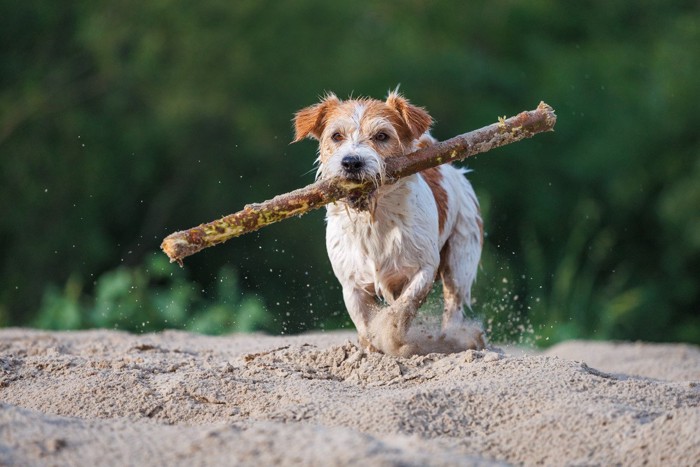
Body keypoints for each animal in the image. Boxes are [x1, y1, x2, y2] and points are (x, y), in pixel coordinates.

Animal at [292, 89, 484, 356]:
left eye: (382, 136)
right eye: (336, 136)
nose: (351, 162)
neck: (375, 218)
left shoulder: (424, 268)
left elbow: (403, 306)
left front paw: (392, 336)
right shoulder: (351, 284)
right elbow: (364, 322)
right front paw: (371, 347)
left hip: (460, 260)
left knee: (453, 304)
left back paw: (450, 340)